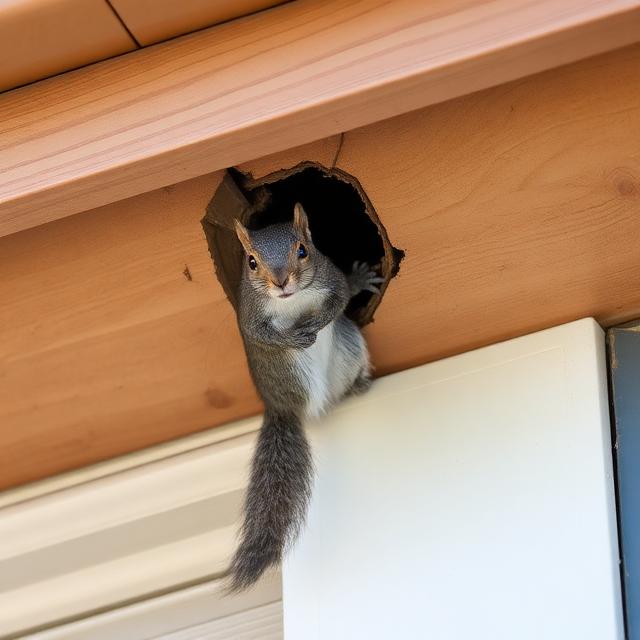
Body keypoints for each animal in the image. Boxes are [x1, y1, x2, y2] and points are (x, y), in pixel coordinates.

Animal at [228, 202, 382, 591]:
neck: (291, 304)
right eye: (251, 262)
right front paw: (296, 335)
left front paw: (358, 281)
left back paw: (359, 384)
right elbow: (263, 335)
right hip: (292, 375)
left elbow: (341, 298)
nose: (281, 282)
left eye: (303, 251)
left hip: (349, 344)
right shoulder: (249, 314)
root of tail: (279, 407)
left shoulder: (331, 279)